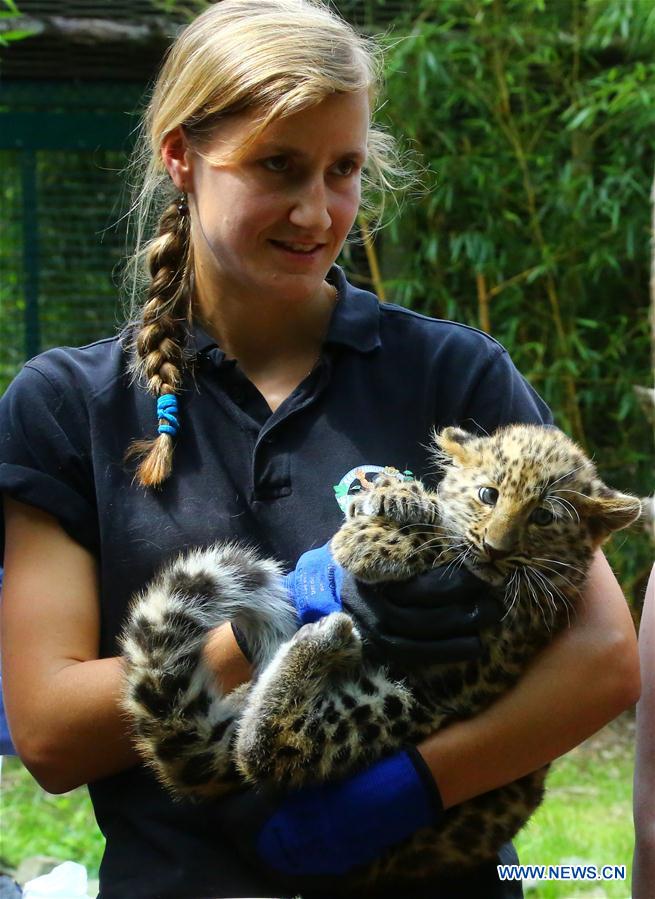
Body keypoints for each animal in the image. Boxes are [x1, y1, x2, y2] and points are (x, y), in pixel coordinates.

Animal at [121, 423, 640, 888]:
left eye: (544, 518)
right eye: (488, 495)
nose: (496, 547)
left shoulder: (510, 606)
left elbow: (448, 550)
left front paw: (367, 543)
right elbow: (438, 522)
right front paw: (398, 497)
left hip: (389, 707)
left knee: (269, 750)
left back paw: (326, 638)